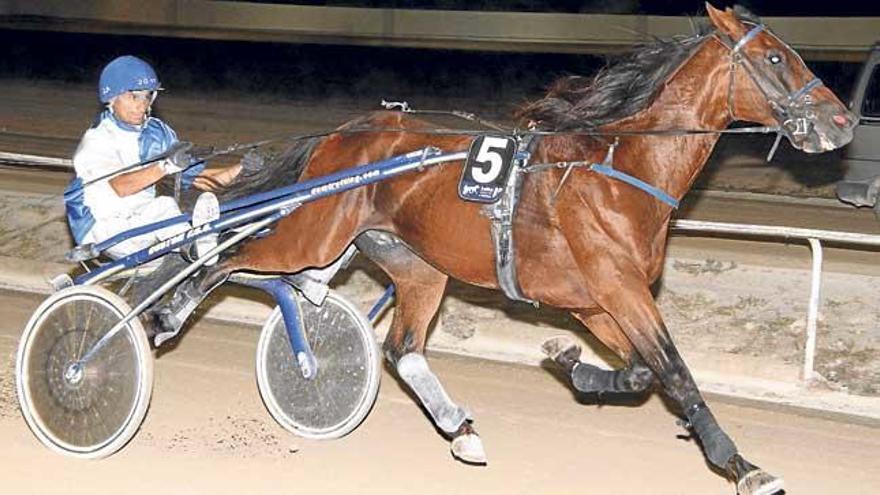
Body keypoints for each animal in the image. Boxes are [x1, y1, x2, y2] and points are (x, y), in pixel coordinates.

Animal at [151, 4, 852, 495]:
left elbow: (640, 372)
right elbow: (674, 372)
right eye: (774, 58)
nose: (842, 120)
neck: (619, 170)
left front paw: (572, 365)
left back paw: (460, 429)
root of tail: (342, 134)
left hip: (416, 266)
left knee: (402, 350)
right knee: (224, 258)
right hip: (311, 235)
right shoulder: (618, 289)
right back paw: (166, 313)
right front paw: (741, 464)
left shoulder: (596, 303)